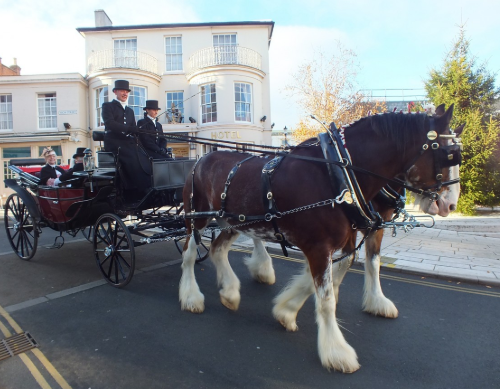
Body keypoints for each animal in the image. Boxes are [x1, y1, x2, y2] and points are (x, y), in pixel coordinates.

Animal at [179, 104, 458, 372]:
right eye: (450, 154)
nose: (450, 205)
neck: (338, 174)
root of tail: (202, 158)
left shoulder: (343, 240)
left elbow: (344, 271)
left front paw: (286, 310)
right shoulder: (318, 246)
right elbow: (326, 299)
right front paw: (336, 351)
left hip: (235, 221)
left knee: (217, 249)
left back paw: (230, 293)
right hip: (197, 218)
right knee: (189, 255)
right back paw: (192, 296)